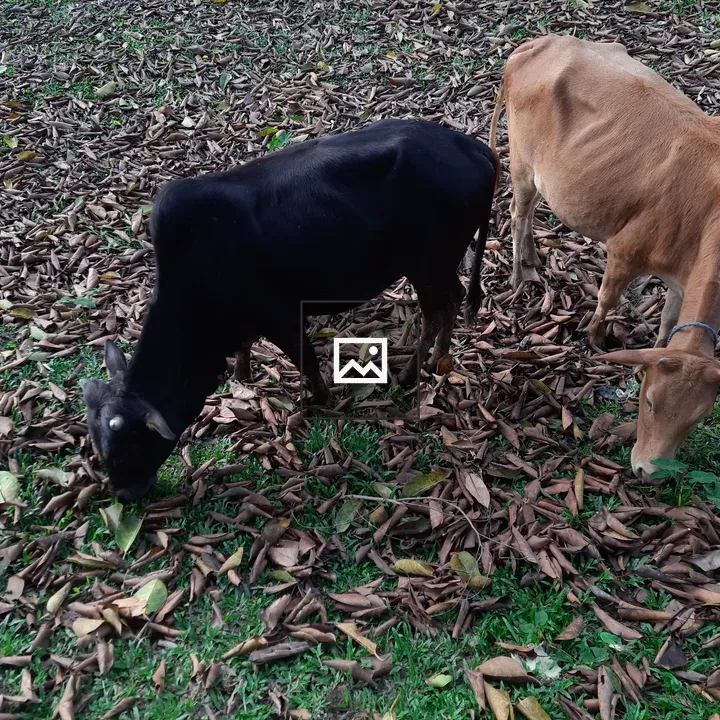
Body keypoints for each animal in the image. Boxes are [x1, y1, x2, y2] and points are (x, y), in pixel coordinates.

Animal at [82, 119, 499, 501]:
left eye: (128, 445)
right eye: (99, 448)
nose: (124, 494)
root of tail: (473, 147)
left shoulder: (279, 314)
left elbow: (305, 358)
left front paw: (318, 397)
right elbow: (248, 347)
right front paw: (243, 375)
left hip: (428, 263)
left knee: (437, 310)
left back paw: (416, 369)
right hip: (438, 263)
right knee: (454, 298)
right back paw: (437, 359)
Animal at [489, 34, 720, 478]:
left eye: (697, 419)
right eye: (650, 403)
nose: (650, 472)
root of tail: (540, 42)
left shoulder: (682, 279)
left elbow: (668, 323)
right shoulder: (625, 251)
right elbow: (606, 299)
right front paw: (595, 340)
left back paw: (533, 261)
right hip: (523, 162)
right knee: (519, 212)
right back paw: (520, 273)